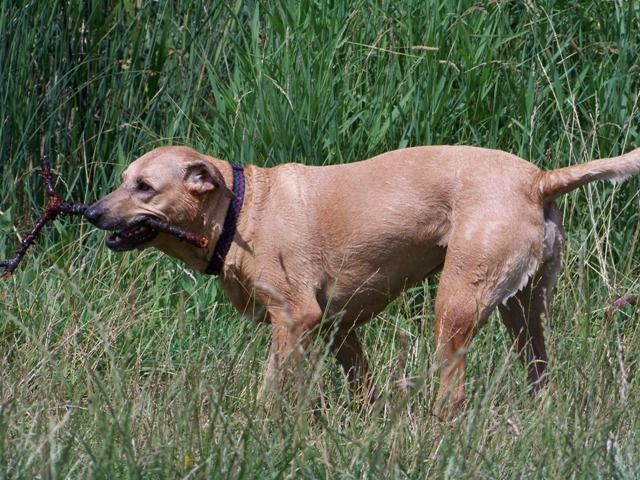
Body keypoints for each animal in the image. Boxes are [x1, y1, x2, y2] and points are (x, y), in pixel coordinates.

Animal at [84, 145, 640, 415]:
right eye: (123, 180)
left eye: (144, 187)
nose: (89, 212)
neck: (242, 209)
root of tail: (538, 179)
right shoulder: (339, 328)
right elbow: (362, 385)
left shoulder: (296, 319)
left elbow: (270, 387)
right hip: (522, 312)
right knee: (539, 373)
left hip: (456, 306)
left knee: (453, 393)